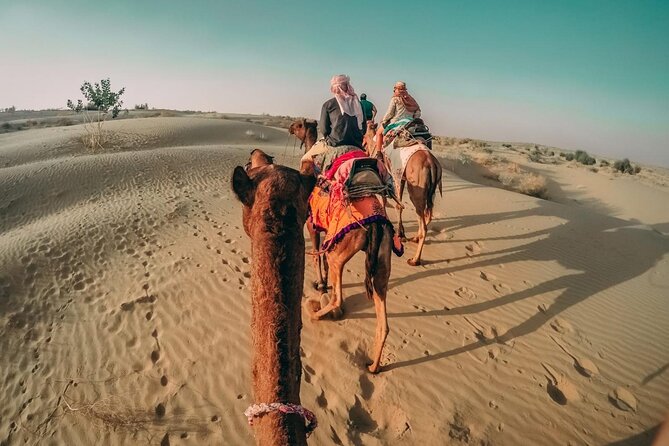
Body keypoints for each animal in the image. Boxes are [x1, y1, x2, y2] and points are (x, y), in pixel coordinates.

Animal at [289, 119, 393, 373]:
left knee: (338, 296)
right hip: (382, 263)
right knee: (383, 322)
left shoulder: (313, 225)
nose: (289, 127)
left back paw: (316, 313)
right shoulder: (328, 231)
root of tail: (376, 225)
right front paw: (323, 282)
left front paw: (320, 284)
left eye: (298, 124)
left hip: (342, 252)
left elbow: (317, 256)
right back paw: (373, 366)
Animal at [363, 121, 442, 266]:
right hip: (430, 191)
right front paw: (401, 233)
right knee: (428, 214)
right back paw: (415, 238)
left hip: (416, 190)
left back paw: (415, 260)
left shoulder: (390, 176)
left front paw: (400, 233)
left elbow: (392, 203)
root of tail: (431, 164)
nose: (363, 143)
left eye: (364, 134)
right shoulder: (401, 178)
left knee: (423, 221)